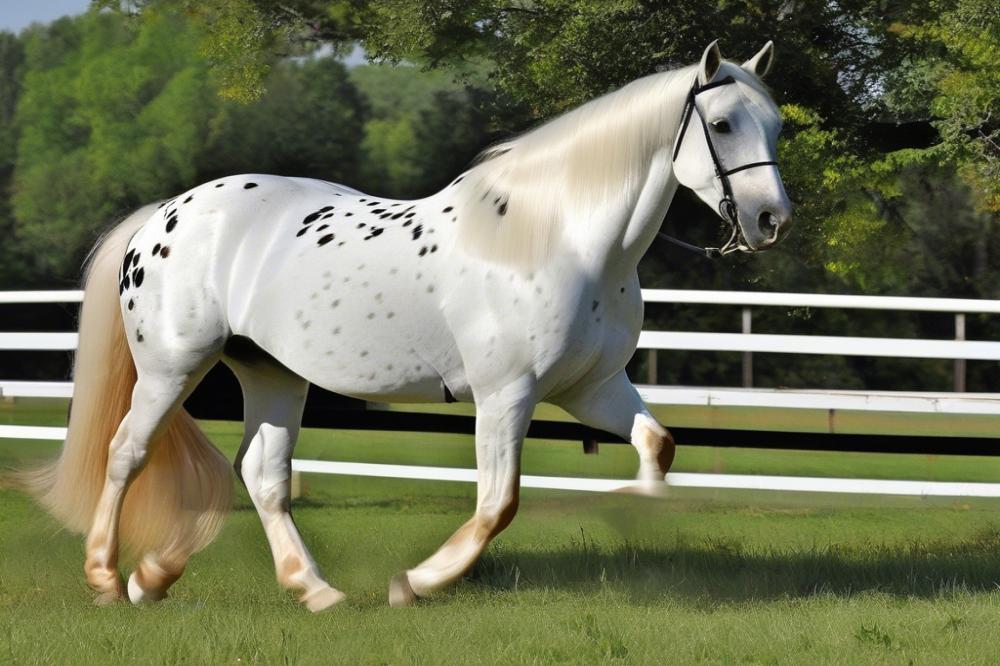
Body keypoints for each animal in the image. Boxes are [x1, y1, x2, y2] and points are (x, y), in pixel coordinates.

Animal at [25, 41, 788, 608]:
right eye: (723, 124)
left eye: (776, 122)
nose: (771, 221)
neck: (560, 238)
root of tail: (164, 214)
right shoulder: (506, 395)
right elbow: (498, 505)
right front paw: (416, 582)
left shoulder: (591, 388)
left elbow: (658, 446)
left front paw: (636, 505)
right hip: (172, 366)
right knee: (127, 453)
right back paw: (109, 576)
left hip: (272, 374)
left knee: (262, 476)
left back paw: (267, 585)